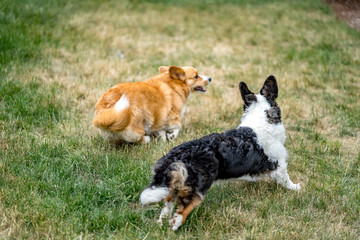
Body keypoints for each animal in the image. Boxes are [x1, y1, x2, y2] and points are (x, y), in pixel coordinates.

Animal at [140, 76, 300, 230]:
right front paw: (296, 188)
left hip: (176, 183)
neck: (261, 120)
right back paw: (176, 224)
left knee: (168, 201)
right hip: (198, 187)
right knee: (183, 208)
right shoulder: (279, 164)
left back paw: (161, 223)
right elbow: (286, 179)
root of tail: (174, 156)